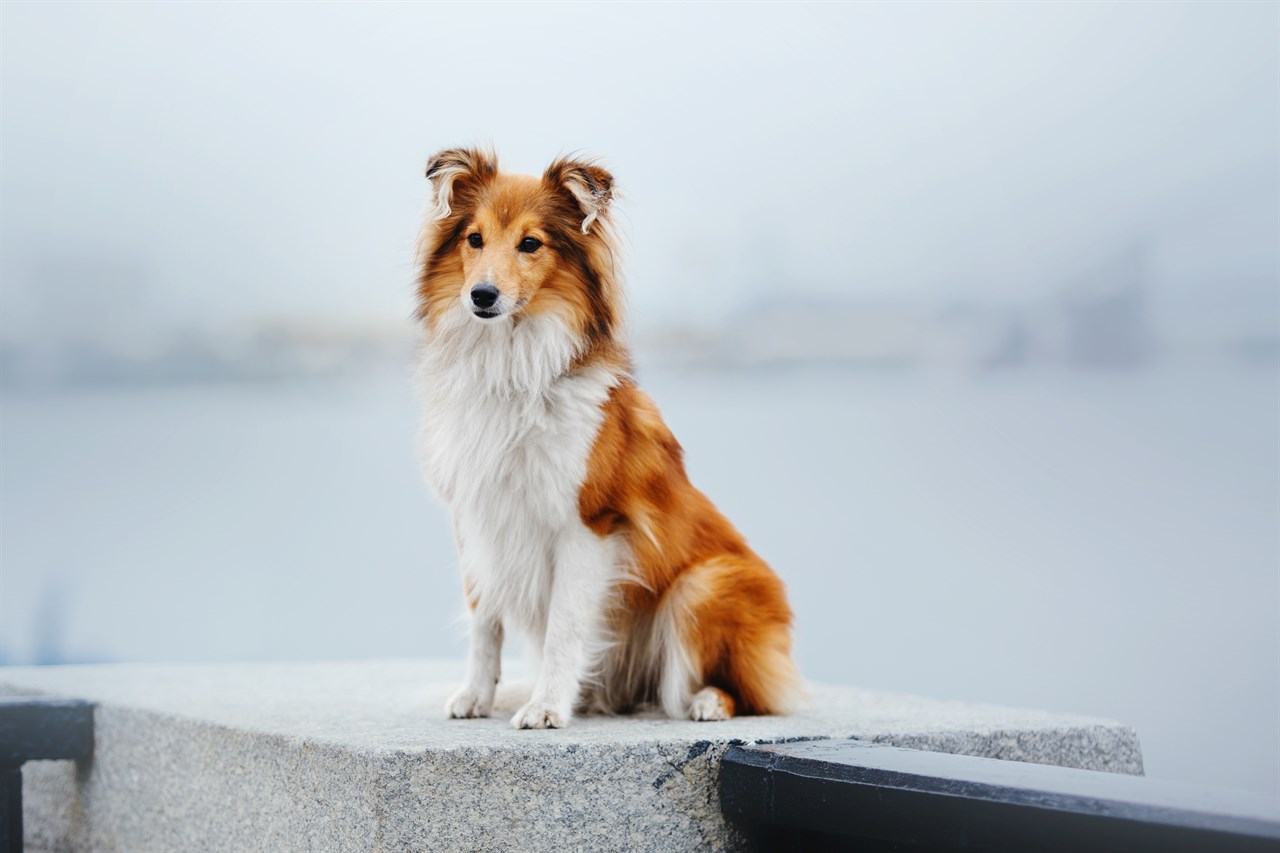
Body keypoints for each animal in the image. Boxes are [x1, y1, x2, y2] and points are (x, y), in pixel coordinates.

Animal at [417, 146, 798, 722]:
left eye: (531, 243)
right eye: (474, 238)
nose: (481, 296)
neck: (513, 367)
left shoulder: (588, 524)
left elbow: (564, 625)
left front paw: (547, 708)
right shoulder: (478, 516)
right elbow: (485, 618)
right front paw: (475, 697)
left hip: (706, 584)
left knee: (749, 694)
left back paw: (707, 701)